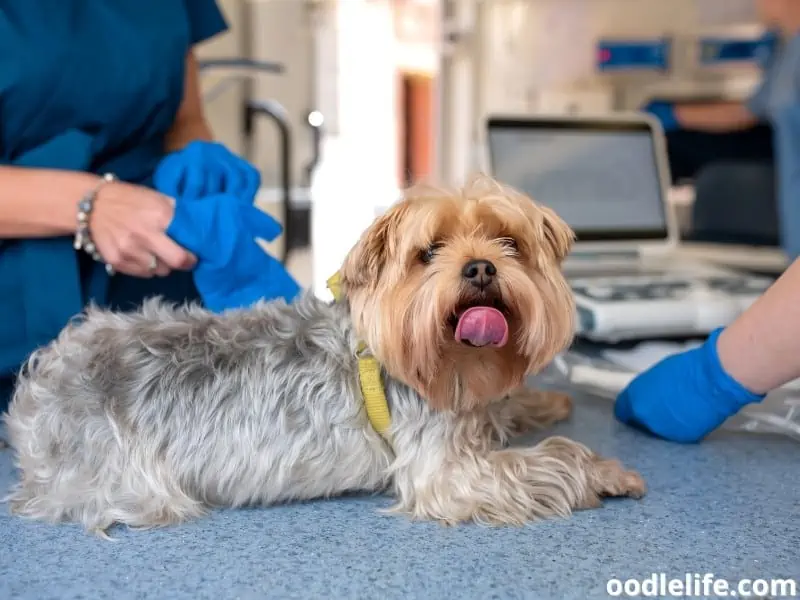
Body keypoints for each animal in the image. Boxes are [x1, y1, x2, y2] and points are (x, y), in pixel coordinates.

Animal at [1, 173, 644, 536]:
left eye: (509, 242)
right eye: (429, 252)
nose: (481, 267)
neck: (450, 364)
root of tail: (40, 383)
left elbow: (507, 408)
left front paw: (542, 402)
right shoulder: (447, 470)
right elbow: (548, 460)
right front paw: (607, 470)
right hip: (129, 482)